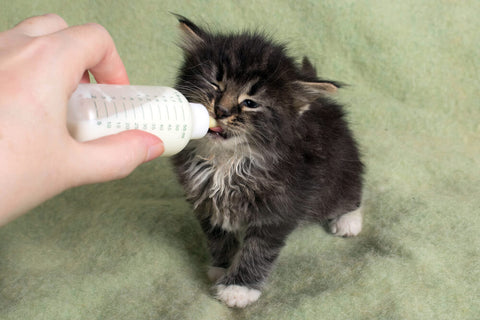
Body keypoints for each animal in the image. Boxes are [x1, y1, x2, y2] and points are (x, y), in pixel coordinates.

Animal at [171, 15, 362, 308]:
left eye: (250, 102)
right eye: (215, 84)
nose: (221, 110)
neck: (228, 161)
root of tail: (322, 103)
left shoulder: (282, 206)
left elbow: (257, 250)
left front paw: (238, 287)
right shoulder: (203, 199)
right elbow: (218, 237)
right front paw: (222, 267)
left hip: (339, 170)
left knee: (348, 191)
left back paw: (349, 219)